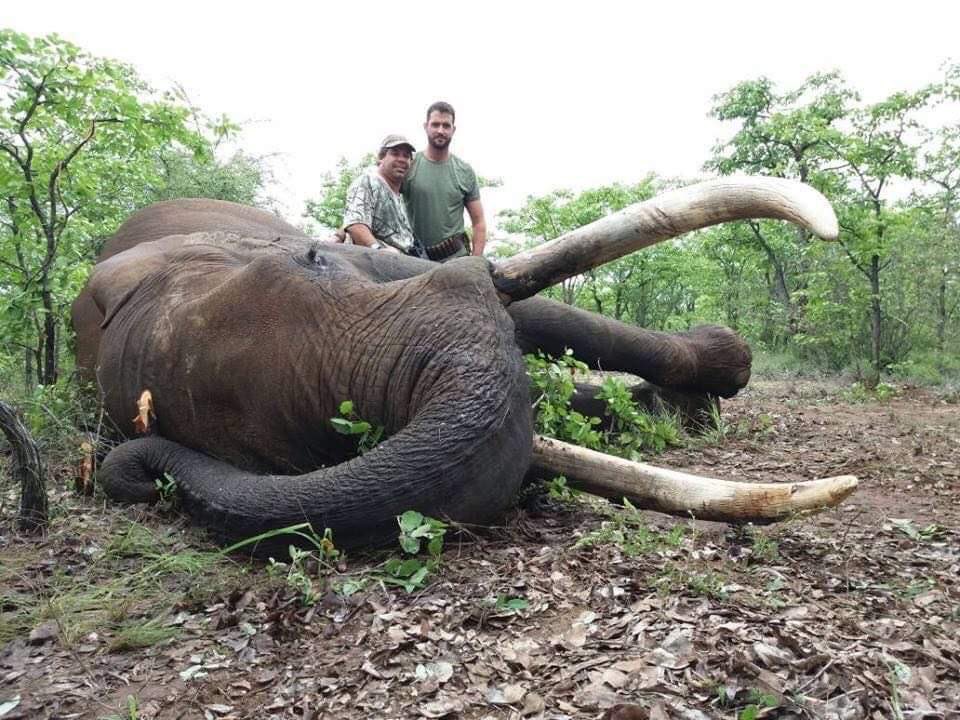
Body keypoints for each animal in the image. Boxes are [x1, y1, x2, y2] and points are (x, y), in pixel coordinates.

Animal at [73, 177, 855, 555]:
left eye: (314, 261)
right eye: (322, 443)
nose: (134, 475)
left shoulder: (381, 267)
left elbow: (542, 312)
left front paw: (722, 371)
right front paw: (668, 410)